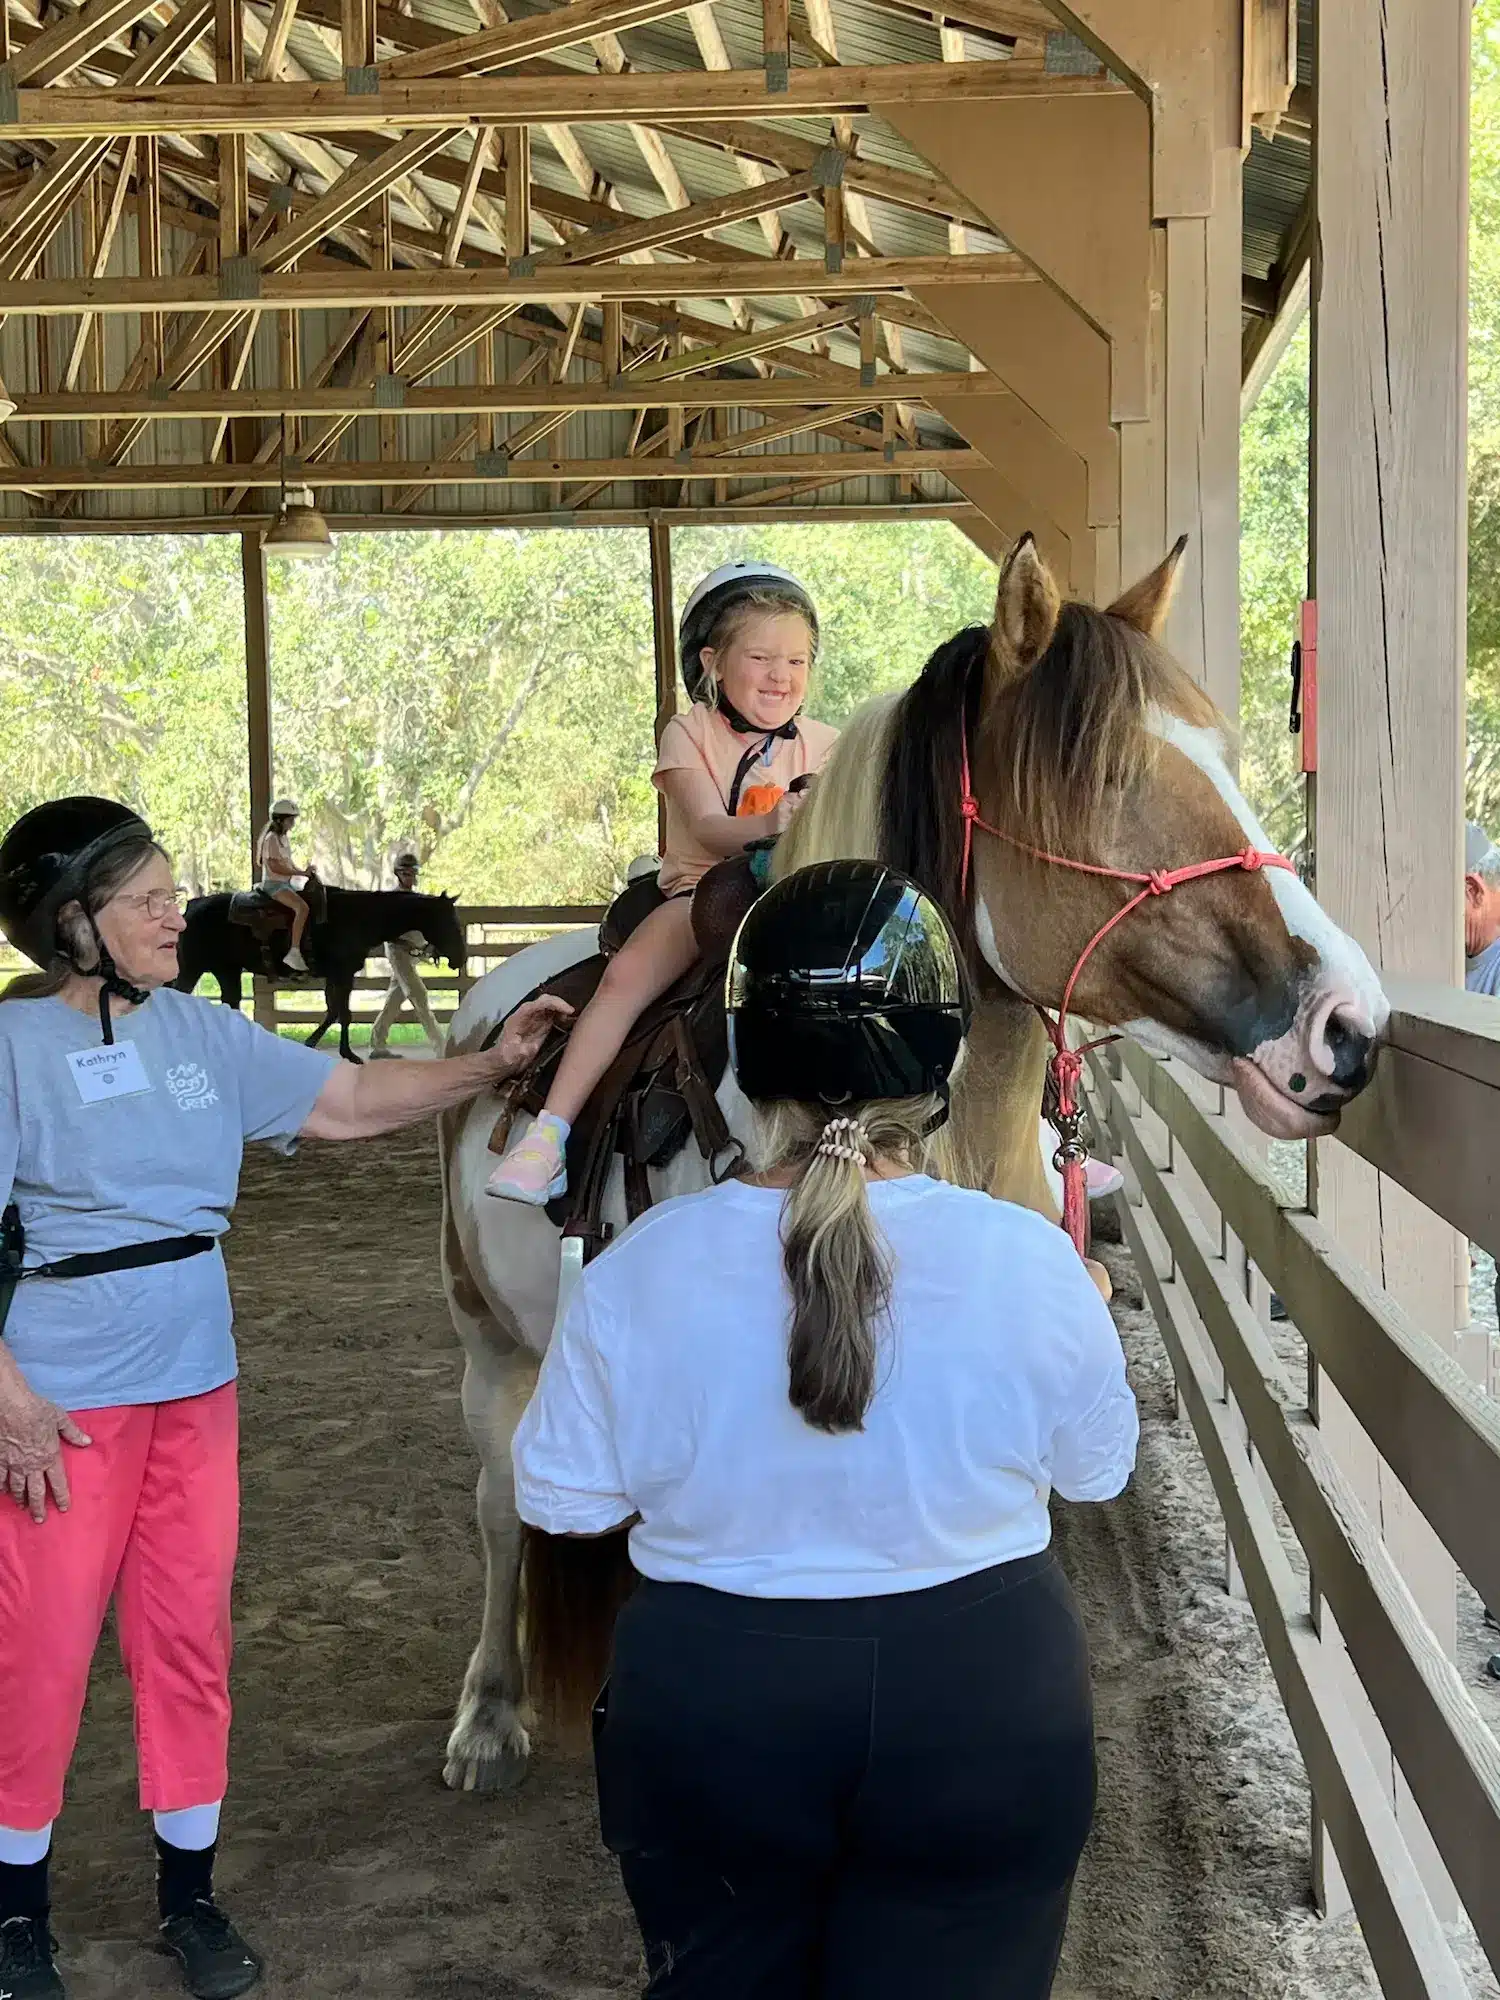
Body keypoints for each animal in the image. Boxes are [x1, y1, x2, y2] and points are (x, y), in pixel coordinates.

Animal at [176, 885, 468, 1061]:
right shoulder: (344, 973)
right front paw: (347, 1053)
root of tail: (189, 908)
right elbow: (343, 1013)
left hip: (226, 971)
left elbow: (333, 1011)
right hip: (192, 968)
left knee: (230, 1004)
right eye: (449, 922)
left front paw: (317, 1044)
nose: (461, 958)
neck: (359, 917)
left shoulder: (336, 976)